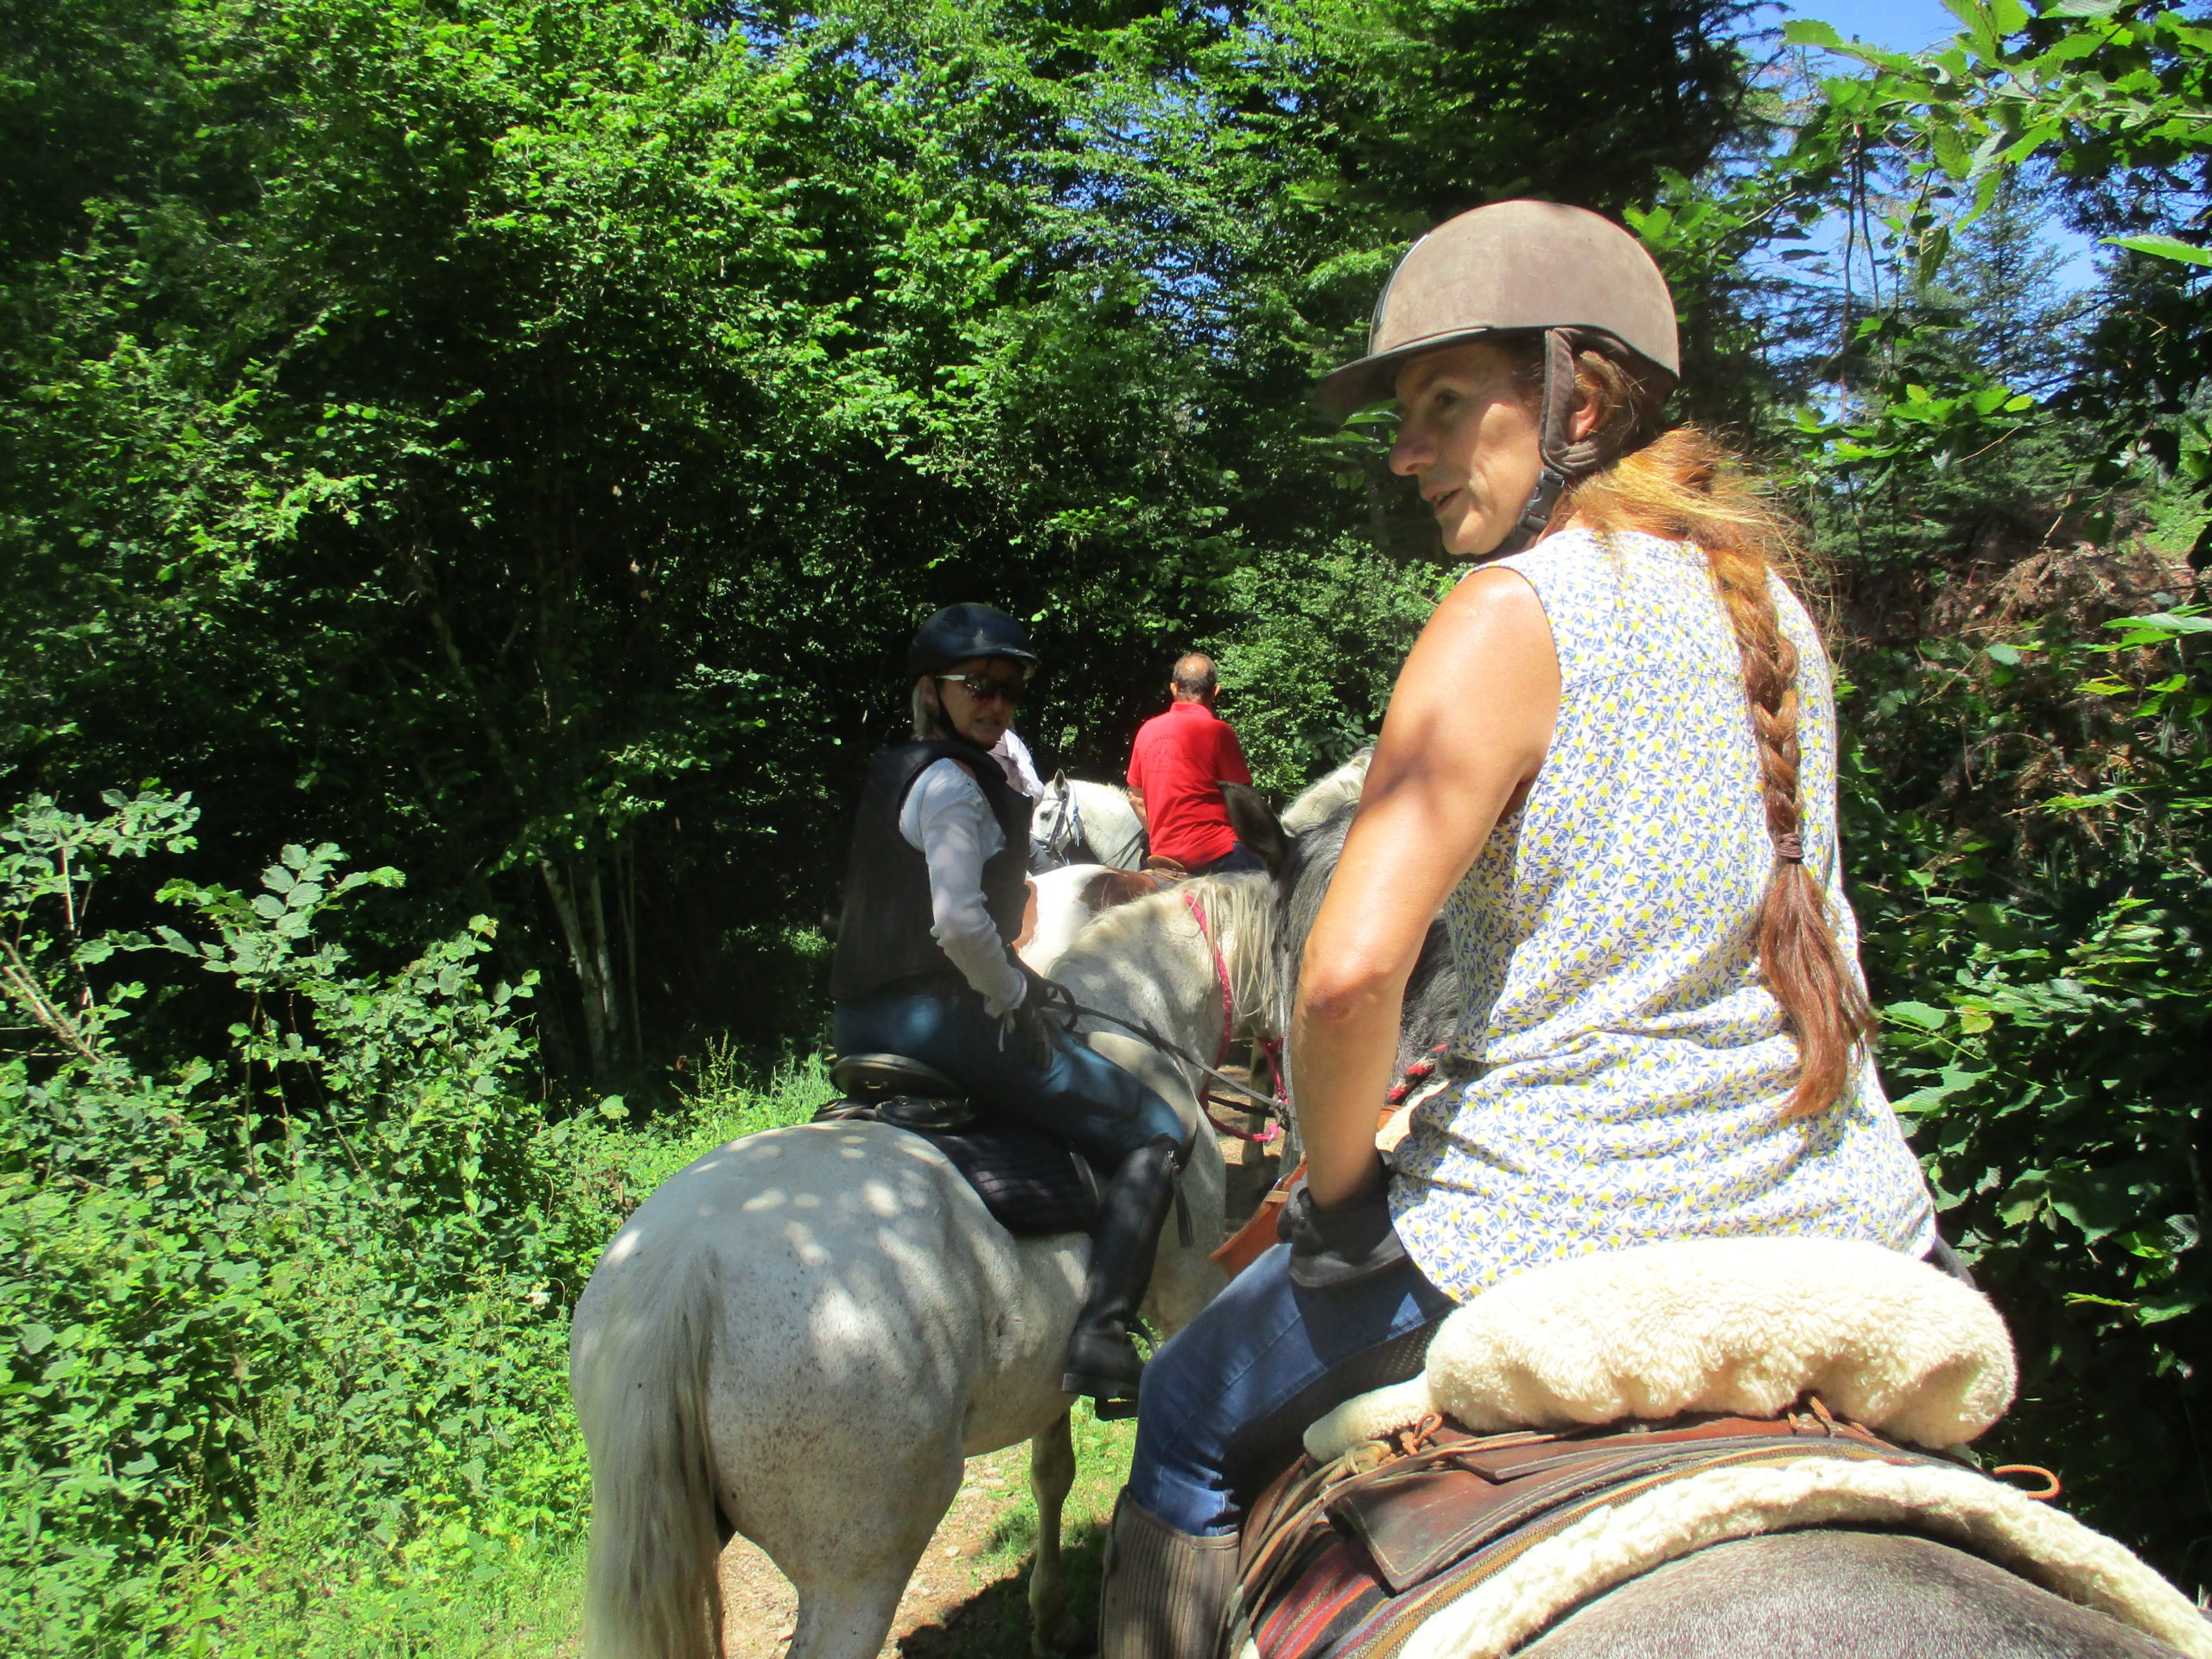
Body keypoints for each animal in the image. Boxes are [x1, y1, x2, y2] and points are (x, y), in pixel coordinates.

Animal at [570, 871, 1282, 1659]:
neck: (1138, 1021)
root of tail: (681, 1271)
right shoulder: (1190, 1297)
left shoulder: (1050, 1364)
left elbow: (1051, 1472)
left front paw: (1049, 1615)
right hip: (859, 1571)